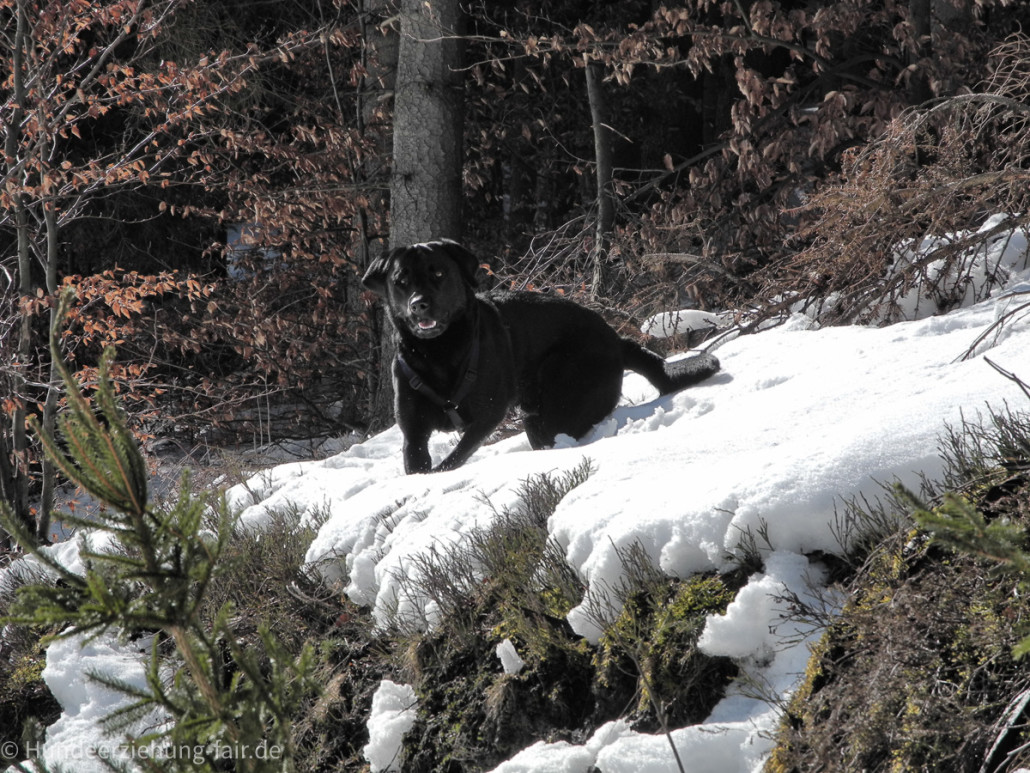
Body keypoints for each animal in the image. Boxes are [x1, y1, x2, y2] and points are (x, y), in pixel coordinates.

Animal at [366, 241, 721, 472]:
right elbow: (418, 463)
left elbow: (454, 459)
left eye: (438, 274)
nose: (418, 304)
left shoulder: (487, 415)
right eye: (400, 281)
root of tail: (616, 340)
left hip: (552, 404)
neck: (439, 352)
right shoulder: (413, 431)